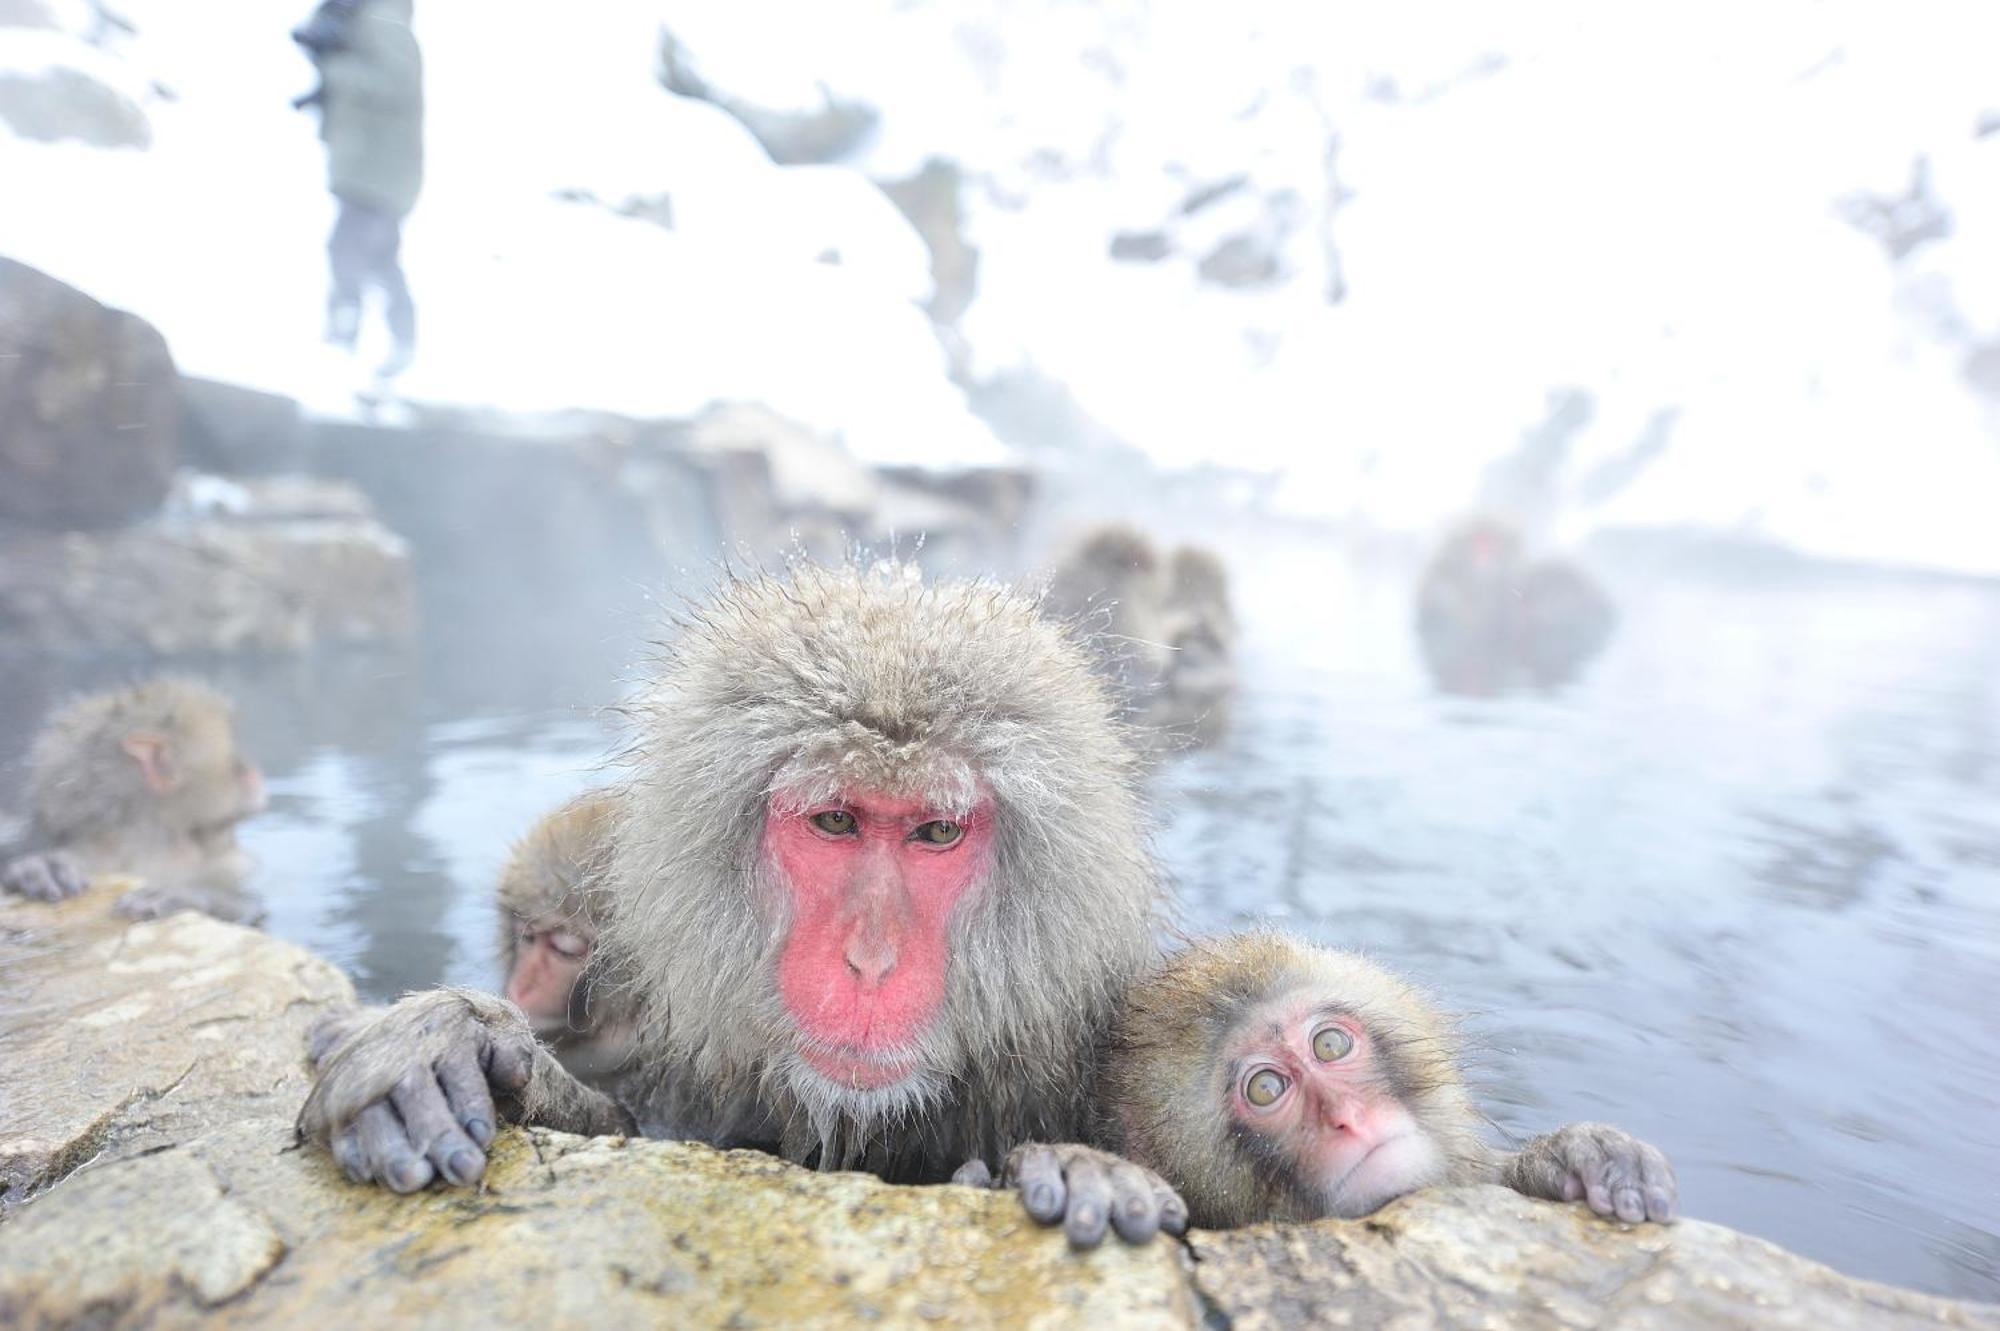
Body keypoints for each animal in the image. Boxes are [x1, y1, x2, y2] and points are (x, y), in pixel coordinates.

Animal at [1, 679, 268, 919]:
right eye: (235, 765)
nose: (253, 772)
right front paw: (39, 868)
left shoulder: (226, 862)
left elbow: (252, 910)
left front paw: (183, 895)